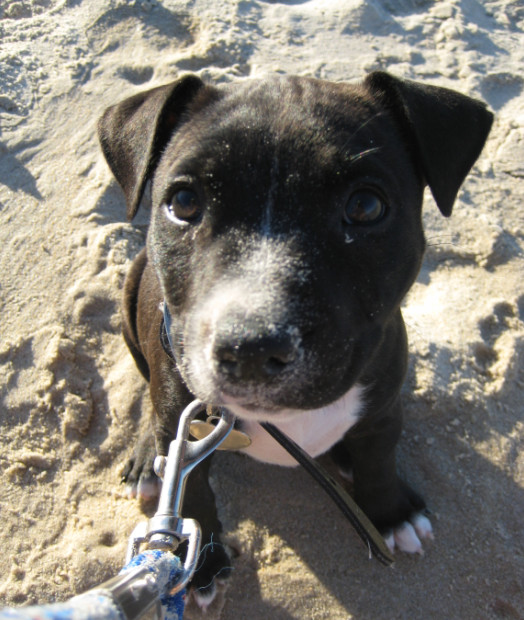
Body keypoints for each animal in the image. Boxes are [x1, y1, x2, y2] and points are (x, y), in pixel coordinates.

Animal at [98, 71, 492, 604]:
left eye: (366, 206)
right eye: (183, 203)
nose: (250, 348)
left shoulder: (383, 406)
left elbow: (379, 460)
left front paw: (390, 512)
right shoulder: (185, 423)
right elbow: (192, 493)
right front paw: (194, 565)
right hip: (130, 298)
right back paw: (146, 460)